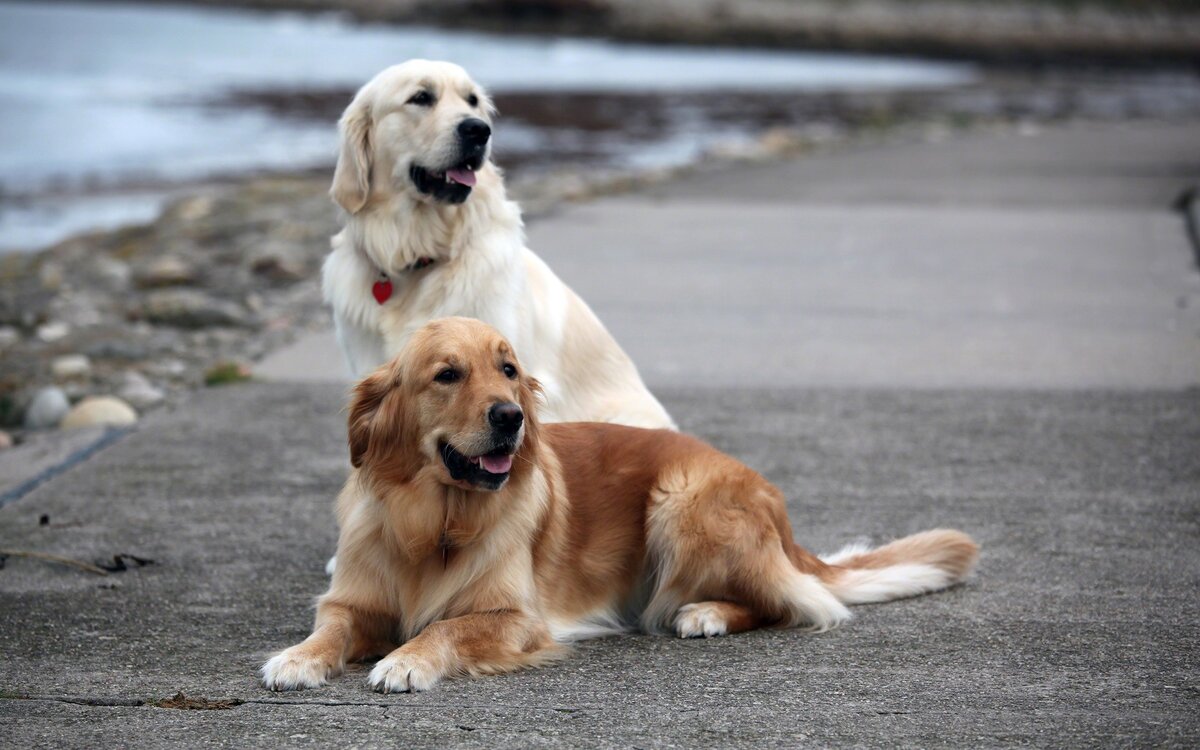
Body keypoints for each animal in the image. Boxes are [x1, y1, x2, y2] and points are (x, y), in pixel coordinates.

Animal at [260, 316, 974, 691]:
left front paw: (405, 660)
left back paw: (706, 612)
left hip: (681, 504)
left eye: (509, 369)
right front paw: (298, 657)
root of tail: (771, 497)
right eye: (448, 374)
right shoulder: (352, 599)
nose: (512, 417)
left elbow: (445, 627)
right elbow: (332, 627)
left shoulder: (516, 618)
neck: (435, 519)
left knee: (795, 604)